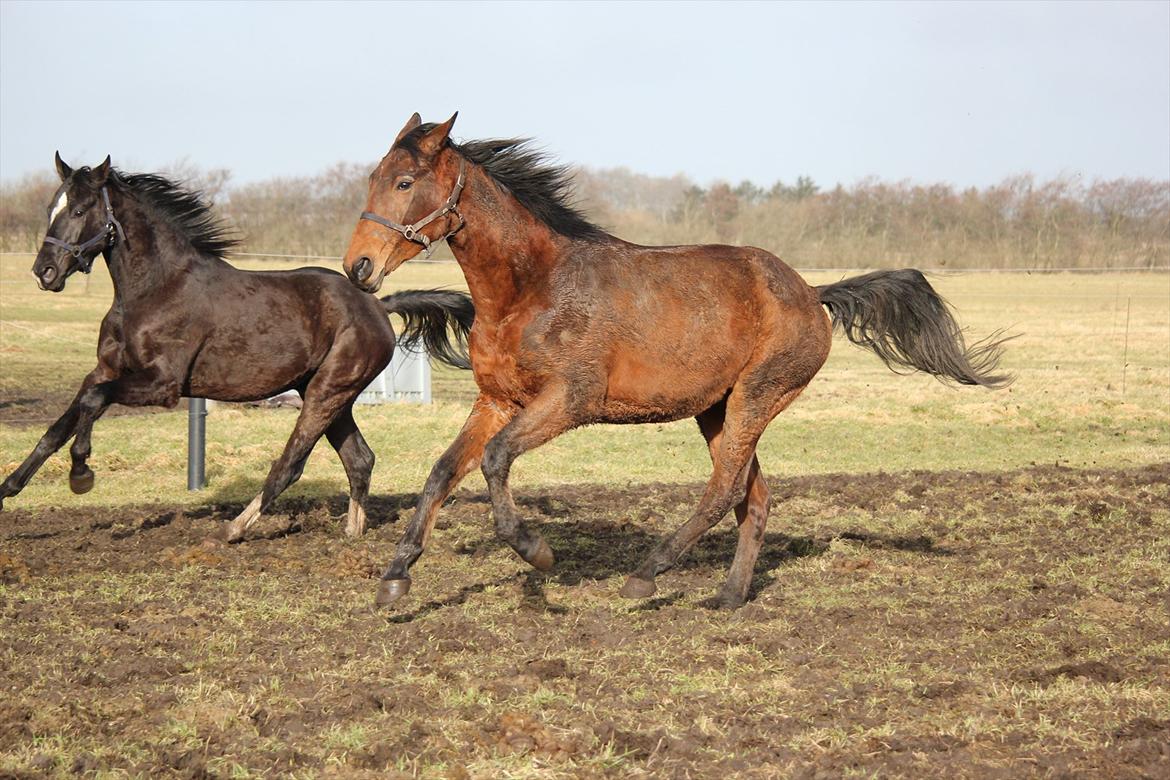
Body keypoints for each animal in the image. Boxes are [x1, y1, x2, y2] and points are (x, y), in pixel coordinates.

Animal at [2, 154, 475, 540]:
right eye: (51, 208)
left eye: (80, 209)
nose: (44, 272)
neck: (154, 288)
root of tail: (378, 303)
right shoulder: (105, 368)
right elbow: (61, 423)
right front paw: (9, 487)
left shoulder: (162, 384)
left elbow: (94, 403)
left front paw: (81, 472)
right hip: (327, 394)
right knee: (360, 459)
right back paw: (351, 534)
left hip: (328, 392)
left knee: (292, 464)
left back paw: (234, 529)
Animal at [341, 112, 1010, 608]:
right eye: (374, 177)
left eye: (404, 184)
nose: (358, 267)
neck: (529, 289)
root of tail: (810, 292)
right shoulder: (498, 400)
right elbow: (442, 471)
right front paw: (396, 576)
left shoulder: (569, 401)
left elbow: (496, 460)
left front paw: (537, 552)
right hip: (717, 410)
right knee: (752, 495)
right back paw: (729, 595)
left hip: (758, 397)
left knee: (725, 488)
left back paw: (648, 573)